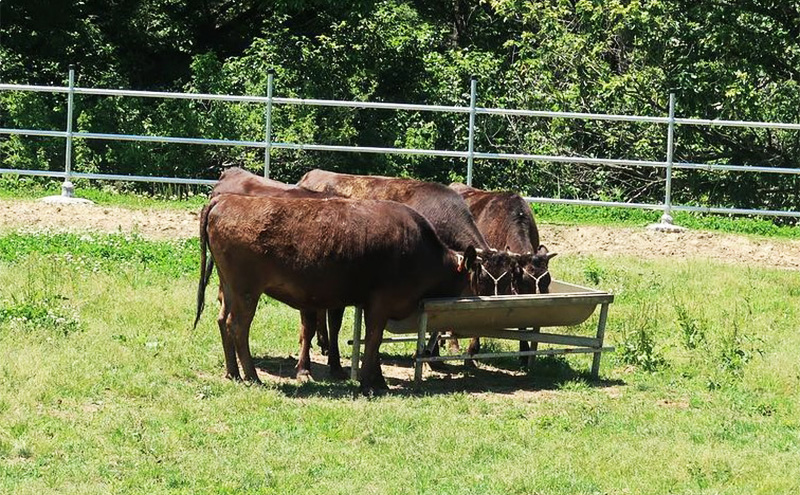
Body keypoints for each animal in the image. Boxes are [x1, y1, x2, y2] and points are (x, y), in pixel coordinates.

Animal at [195, 194, 482, 396]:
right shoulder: (381, 303)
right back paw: (252, 375)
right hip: (246, 291)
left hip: (230, 288)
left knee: (222, 321)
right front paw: (367, 383)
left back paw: (233, 373)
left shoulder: (368, 303)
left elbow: (371, 343)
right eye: (476, 279)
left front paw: (378, 380)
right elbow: (373, 340)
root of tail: (226, 199)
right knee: (237, 326)